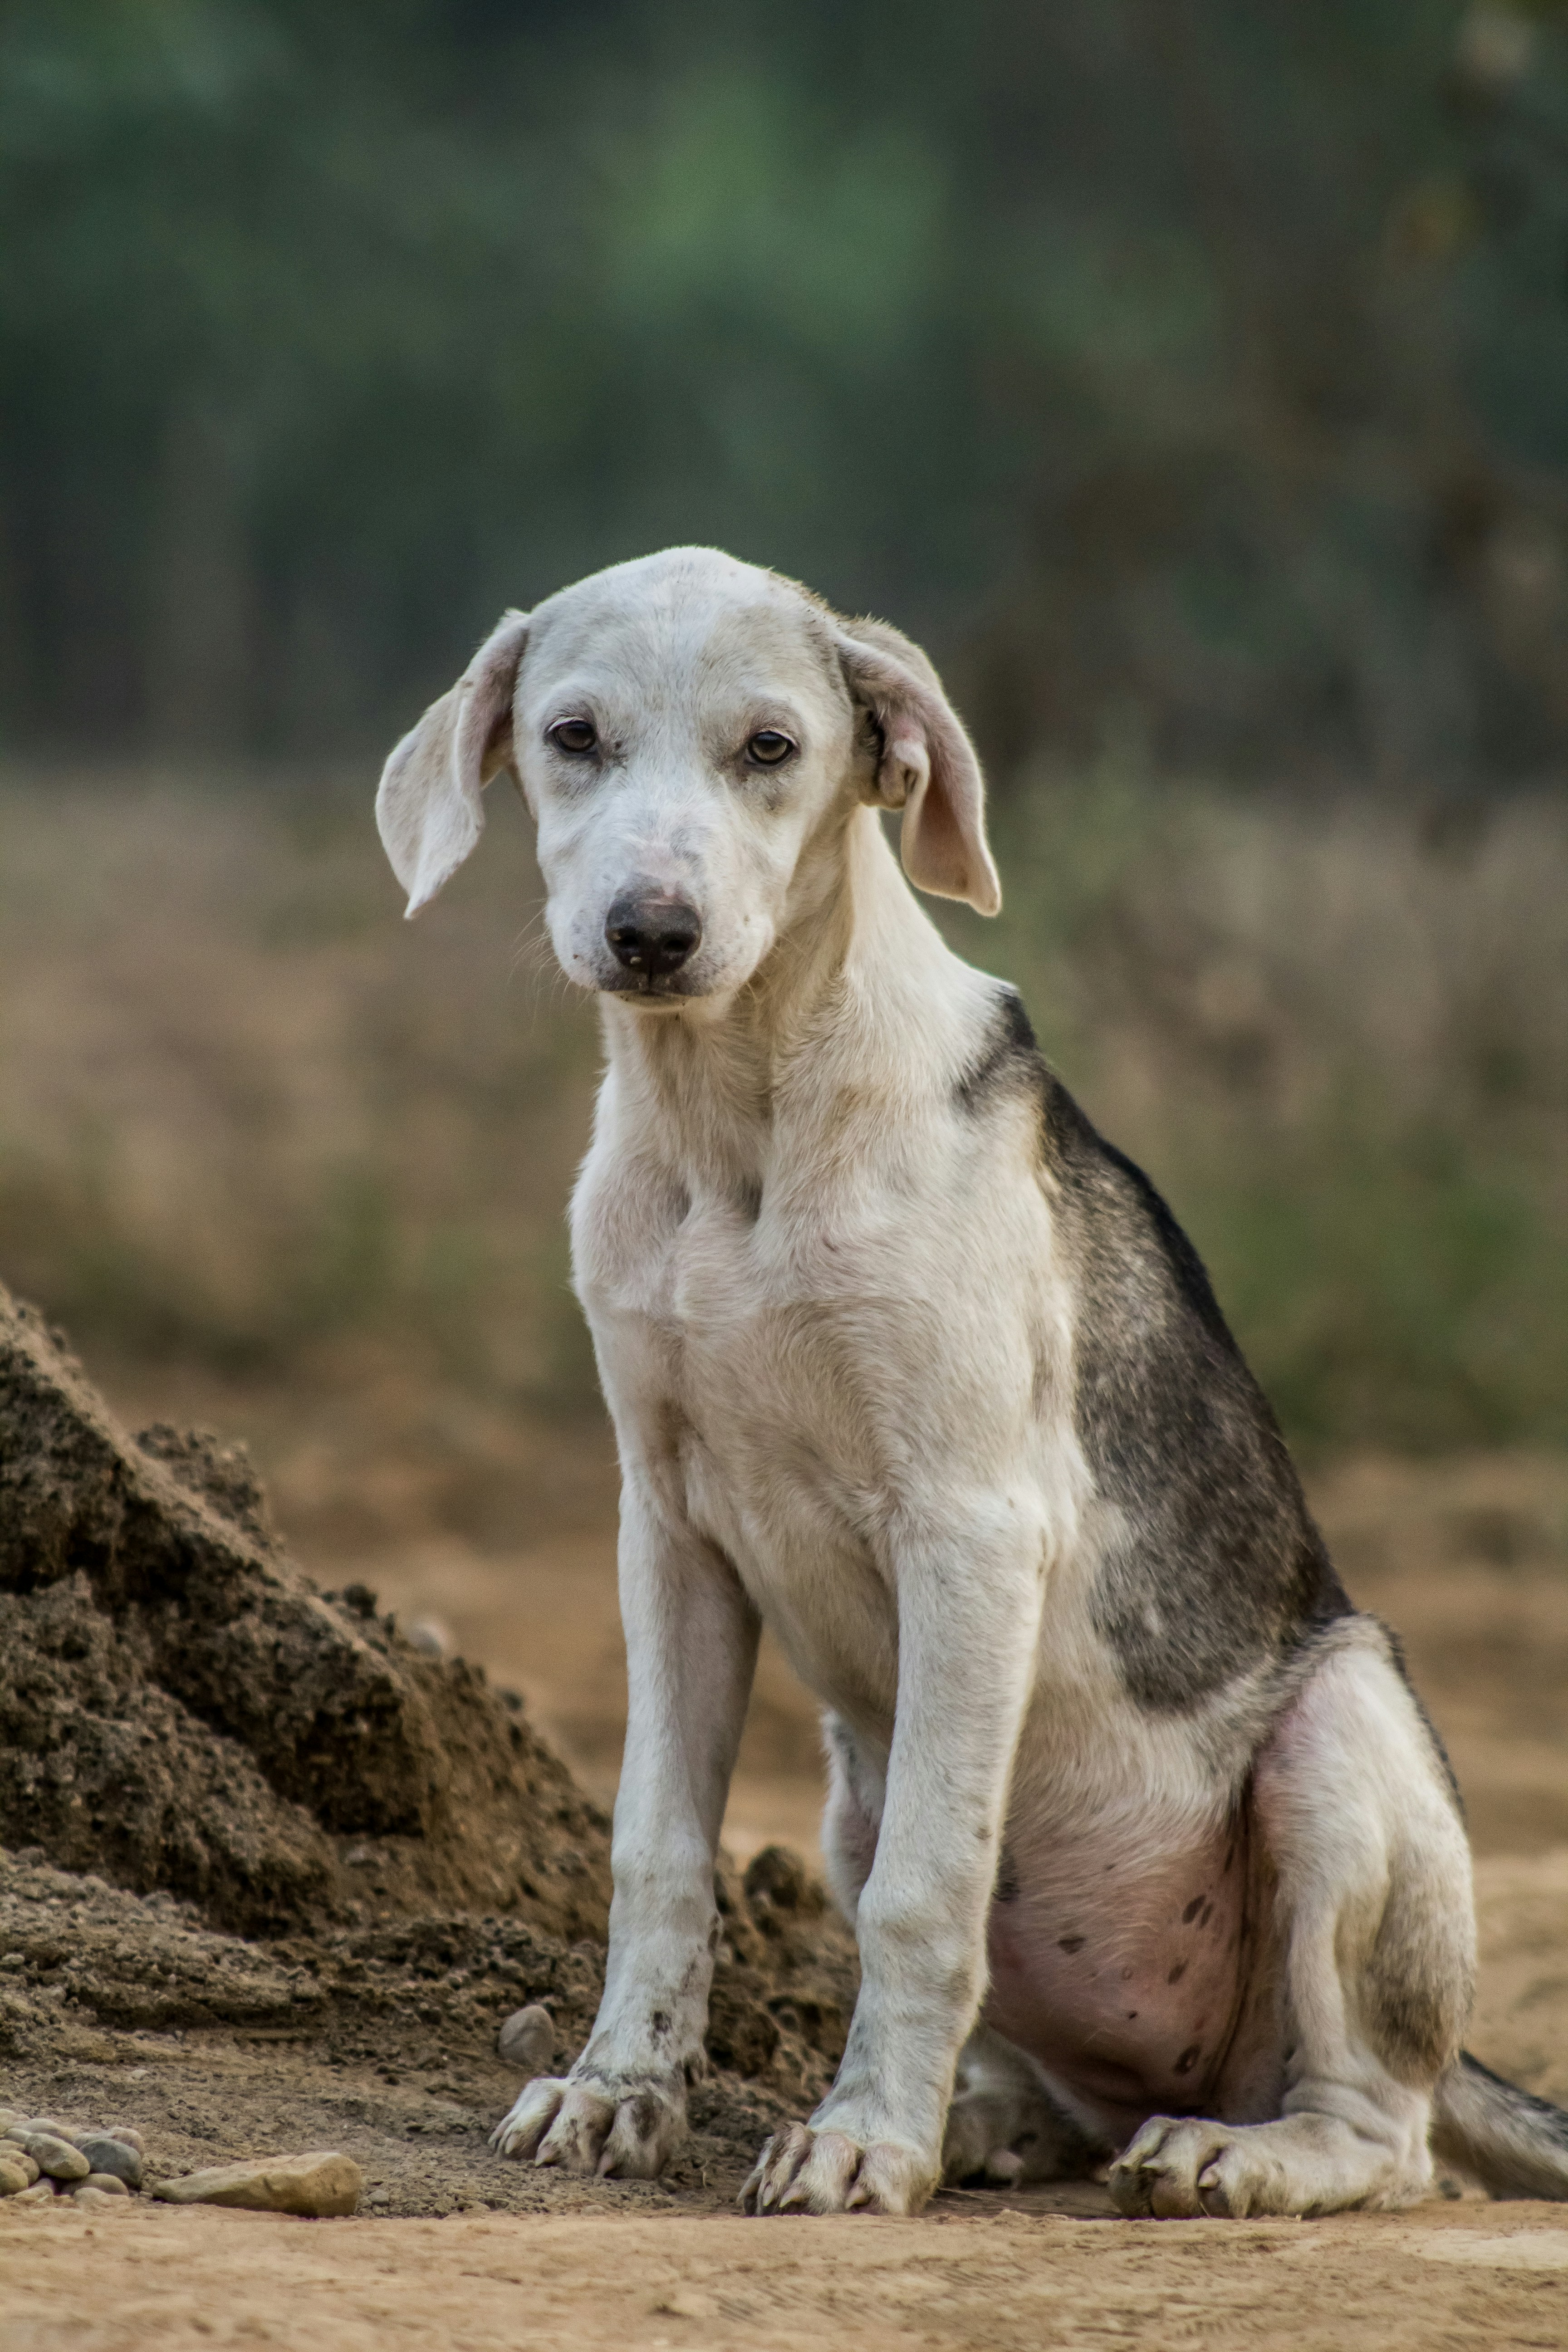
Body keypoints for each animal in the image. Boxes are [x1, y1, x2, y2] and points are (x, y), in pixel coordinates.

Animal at [376, 541, 1568, 2210]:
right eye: (572, 737)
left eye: (771, 748)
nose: (651, 930)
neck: (740, 1124)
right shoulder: (664, 1530)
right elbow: (658, 1851)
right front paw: (620, 2091)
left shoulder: (971, 1528)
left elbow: (924, 1896)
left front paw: (863, 2140)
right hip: (848, 1784)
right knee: (1062, 2070)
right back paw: (997, 2120)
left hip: (1340, 1733)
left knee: (1384, 2136)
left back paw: (1230, 2153)